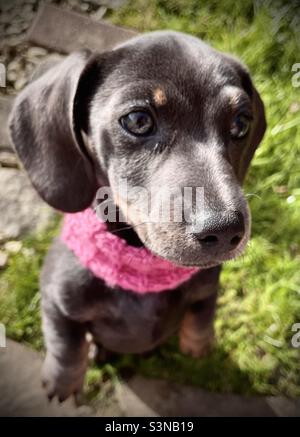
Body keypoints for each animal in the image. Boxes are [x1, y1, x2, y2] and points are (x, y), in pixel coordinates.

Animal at [8, 30, 266, 400]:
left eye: (241, 123)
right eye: (138, 120)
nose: (226, 231)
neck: (142, 267)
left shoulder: (207, 286)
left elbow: (202, 314)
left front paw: (198, 345)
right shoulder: (56, 300)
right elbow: (66, 345)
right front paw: (63, 381)